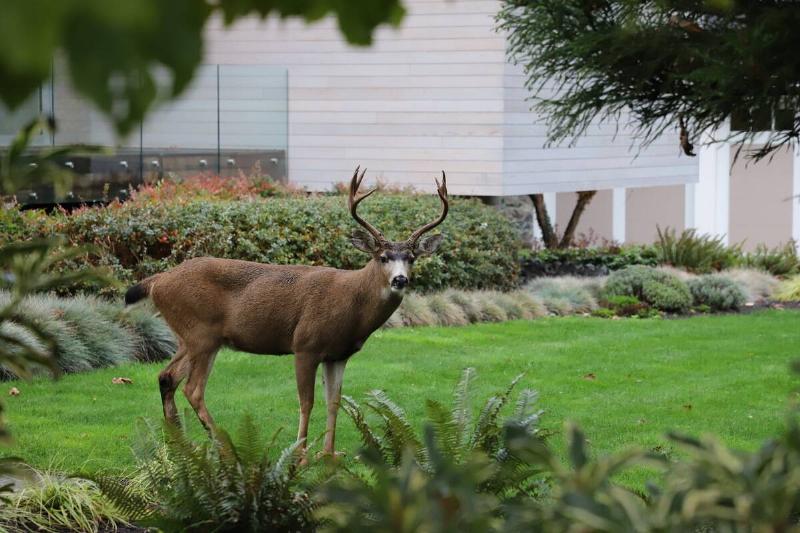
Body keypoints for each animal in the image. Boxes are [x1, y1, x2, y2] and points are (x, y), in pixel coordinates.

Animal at [124, 167, 449, 460]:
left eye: (411, 258)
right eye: (382, 257)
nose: (400, 280)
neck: (351, 305)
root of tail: (158, 281)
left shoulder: (338, 354)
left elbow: (334, 401)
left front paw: (329, 454)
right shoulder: (305, 344)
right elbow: (307, 401)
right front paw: (300, 455)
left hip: (189, 336)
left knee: (167, 376)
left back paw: (179, 444)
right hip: (201, 334)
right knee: (192, 389)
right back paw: (223, 448)